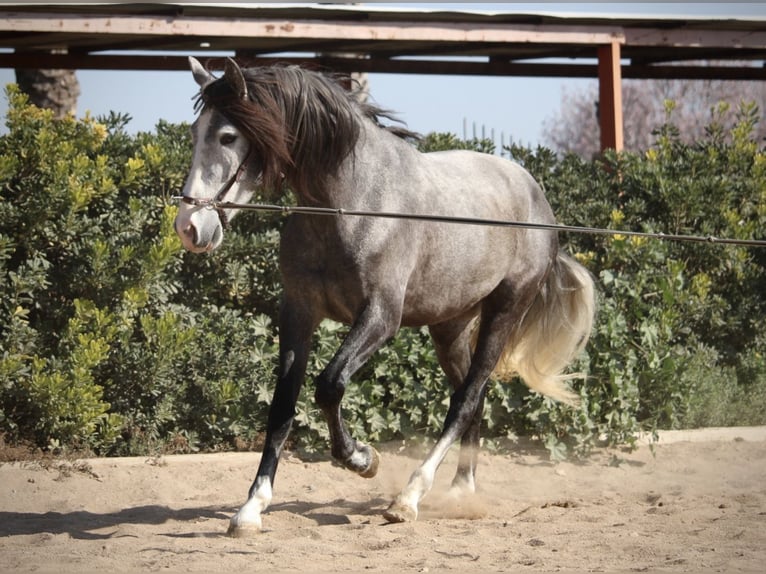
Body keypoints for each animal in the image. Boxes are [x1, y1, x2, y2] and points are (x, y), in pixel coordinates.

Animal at [177, 56, 596, 536]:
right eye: (195, 132)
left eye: (228, 136)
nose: (189, 227)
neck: (352, 203)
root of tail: (536, 197)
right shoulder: (298, 312)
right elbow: (283, 403)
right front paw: (251, 507)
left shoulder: (380, 317)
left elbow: (329, 385)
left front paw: (362, 458)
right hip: (449, 327)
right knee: (474, 397)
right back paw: (460, 490)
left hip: (504, 312)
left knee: (465, 400)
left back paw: (409, 497)